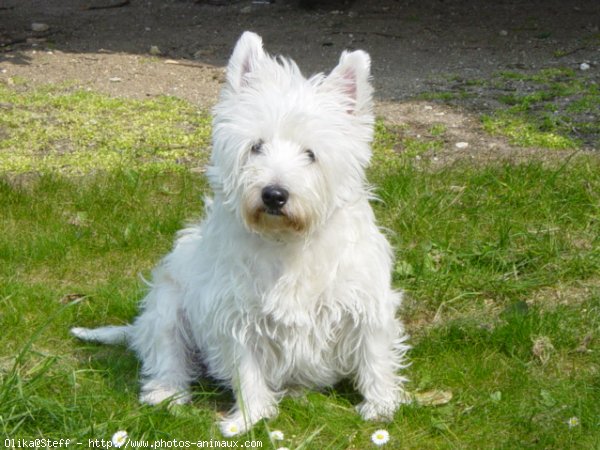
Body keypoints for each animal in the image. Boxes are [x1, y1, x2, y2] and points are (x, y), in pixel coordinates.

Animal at [69, 31, 408, 436]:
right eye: (256, 146)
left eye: (311, 154)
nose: (274, 194)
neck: (286, 243)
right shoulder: (236, 318)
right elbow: (247, 372)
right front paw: (249, 419)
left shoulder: (365, 303)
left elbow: (375, 355)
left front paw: (381, 406)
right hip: (167, 305)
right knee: (166, 356)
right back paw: (166, 394)